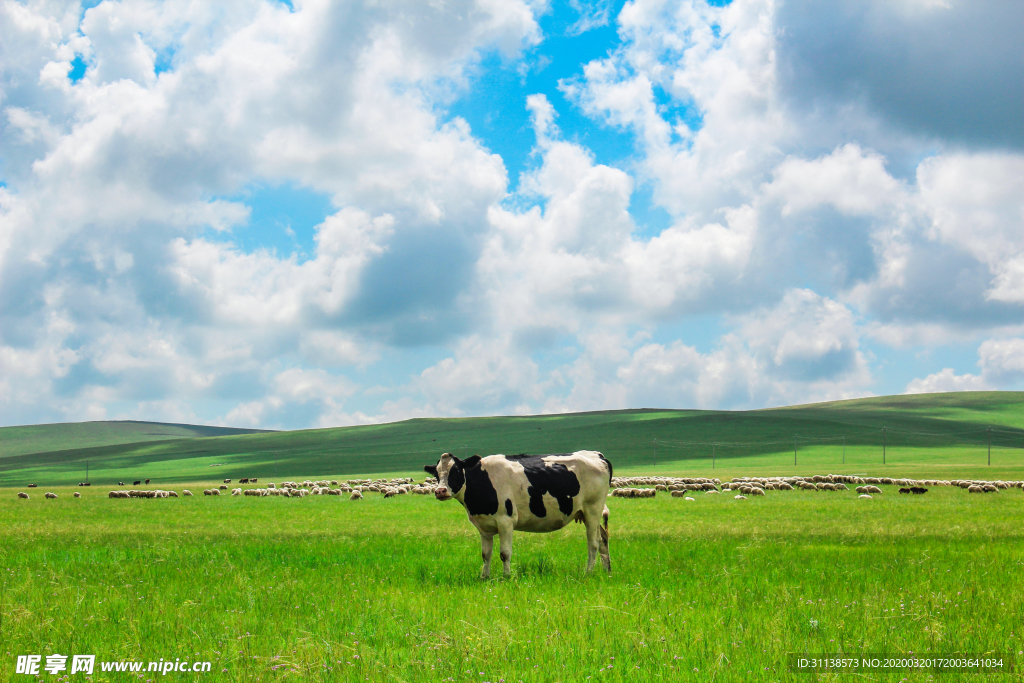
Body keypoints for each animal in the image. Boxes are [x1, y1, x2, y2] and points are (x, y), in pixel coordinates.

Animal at [421, 450, 610, 581]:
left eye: (456, 471)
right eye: (436, 473)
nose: (440, 491)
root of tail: (597, 454)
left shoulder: (505, 521)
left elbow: (504, 553)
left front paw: (506, 577)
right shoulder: (483, 526)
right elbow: (485, 554)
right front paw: (484, 577)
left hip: (592, 510)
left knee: (593, 543)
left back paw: (589, 572)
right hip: (587, 513)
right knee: (603, 539)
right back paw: (607, 570)